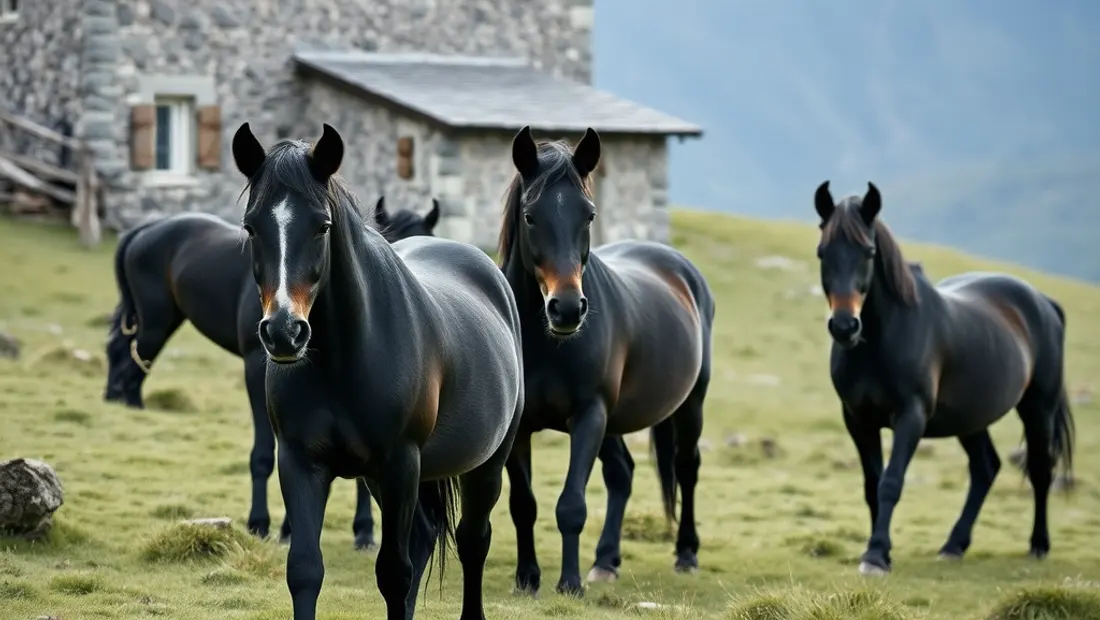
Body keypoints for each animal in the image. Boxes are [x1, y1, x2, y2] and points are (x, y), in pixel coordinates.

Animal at [103, 196, 439, 552]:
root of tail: (145, 229)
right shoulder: (258, 369)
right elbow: (266, 454)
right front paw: (262, 525)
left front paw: (362, 531)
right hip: (156, 320)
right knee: (130, 365)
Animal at [231, 122, 523, 620]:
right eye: (252, 226)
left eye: (322, 226)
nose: (285, 332)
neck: (344, 361)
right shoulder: (300, 462)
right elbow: (305, 569)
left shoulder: (400, 463)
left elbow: (393, 573)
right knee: (426, 536)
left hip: (486, 464)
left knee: (472, 542)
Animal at [498, 125, 715, 596]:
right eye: (530, 216)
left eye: (589, 216)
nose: (566, 309)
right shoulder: (521, 427)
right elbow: (524, 504)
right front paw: (526, 578)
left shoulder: (588, 415)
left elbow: (571, 505)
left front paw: (570, 583)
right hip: (614, 421)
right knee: (622, 474)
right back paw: (606, 561)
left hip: (688, 405)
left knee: (686, 468)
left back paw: (686, 553)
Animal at [812, 181, 1076, 576]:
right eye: (822, 252)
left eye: (869, 251)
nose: (845, 326)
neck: (884, 338)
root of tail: (1044, 302)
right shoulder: (858, 420)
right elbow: (872, 484)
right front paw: (879, 550)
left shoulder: (911, 416)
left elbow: (891, 482)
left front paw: (876, 555)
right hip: (971, 418)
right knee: (985, 468)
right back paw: (954, 545)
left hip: (1038, 409)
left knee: (1041, 471)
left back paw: (1038, 545)